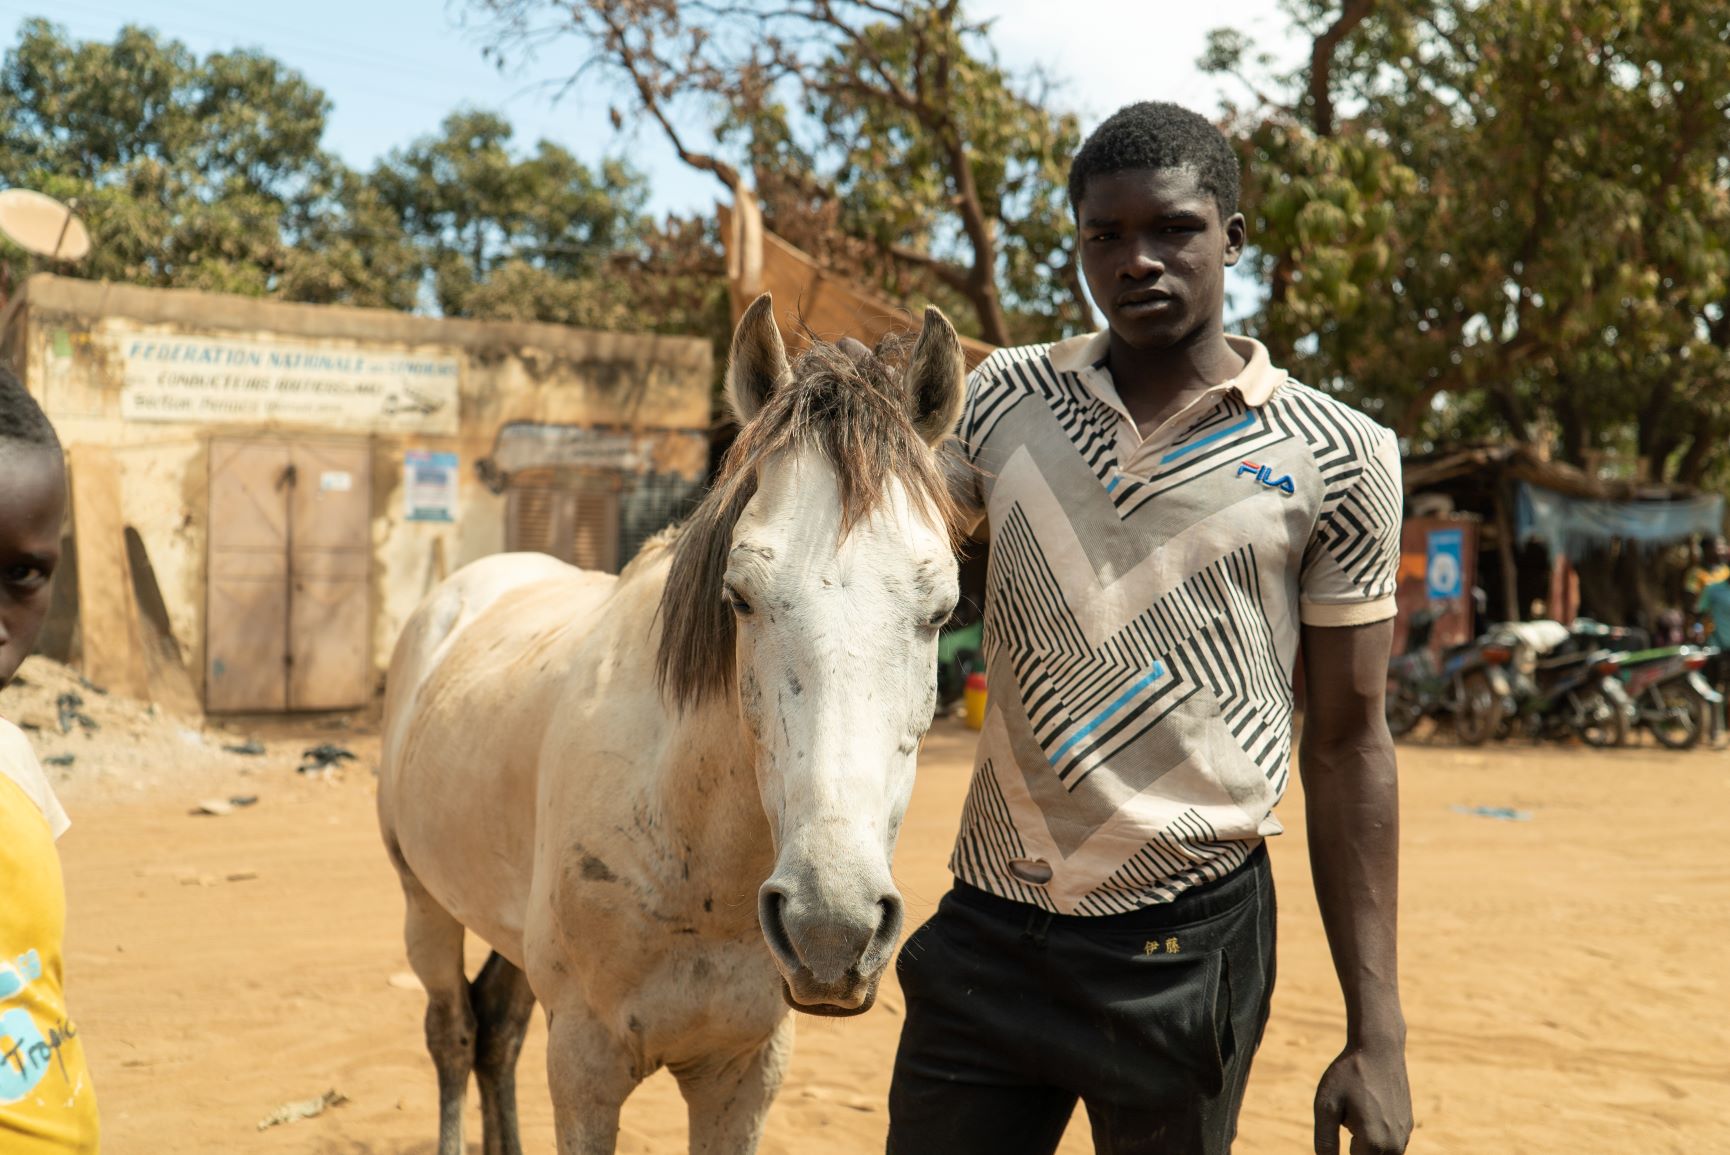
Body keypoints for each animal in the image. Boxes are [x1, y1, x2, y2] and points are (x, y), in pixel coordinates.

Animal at [378, 297, 968, 1155]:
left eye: (942, 609)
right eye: (741, 595)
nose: (831, 926)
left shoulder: (744, 1072)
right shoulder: (584, 1065)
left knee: (496, 1031)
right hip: (423, 903)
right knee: (454, 1033)